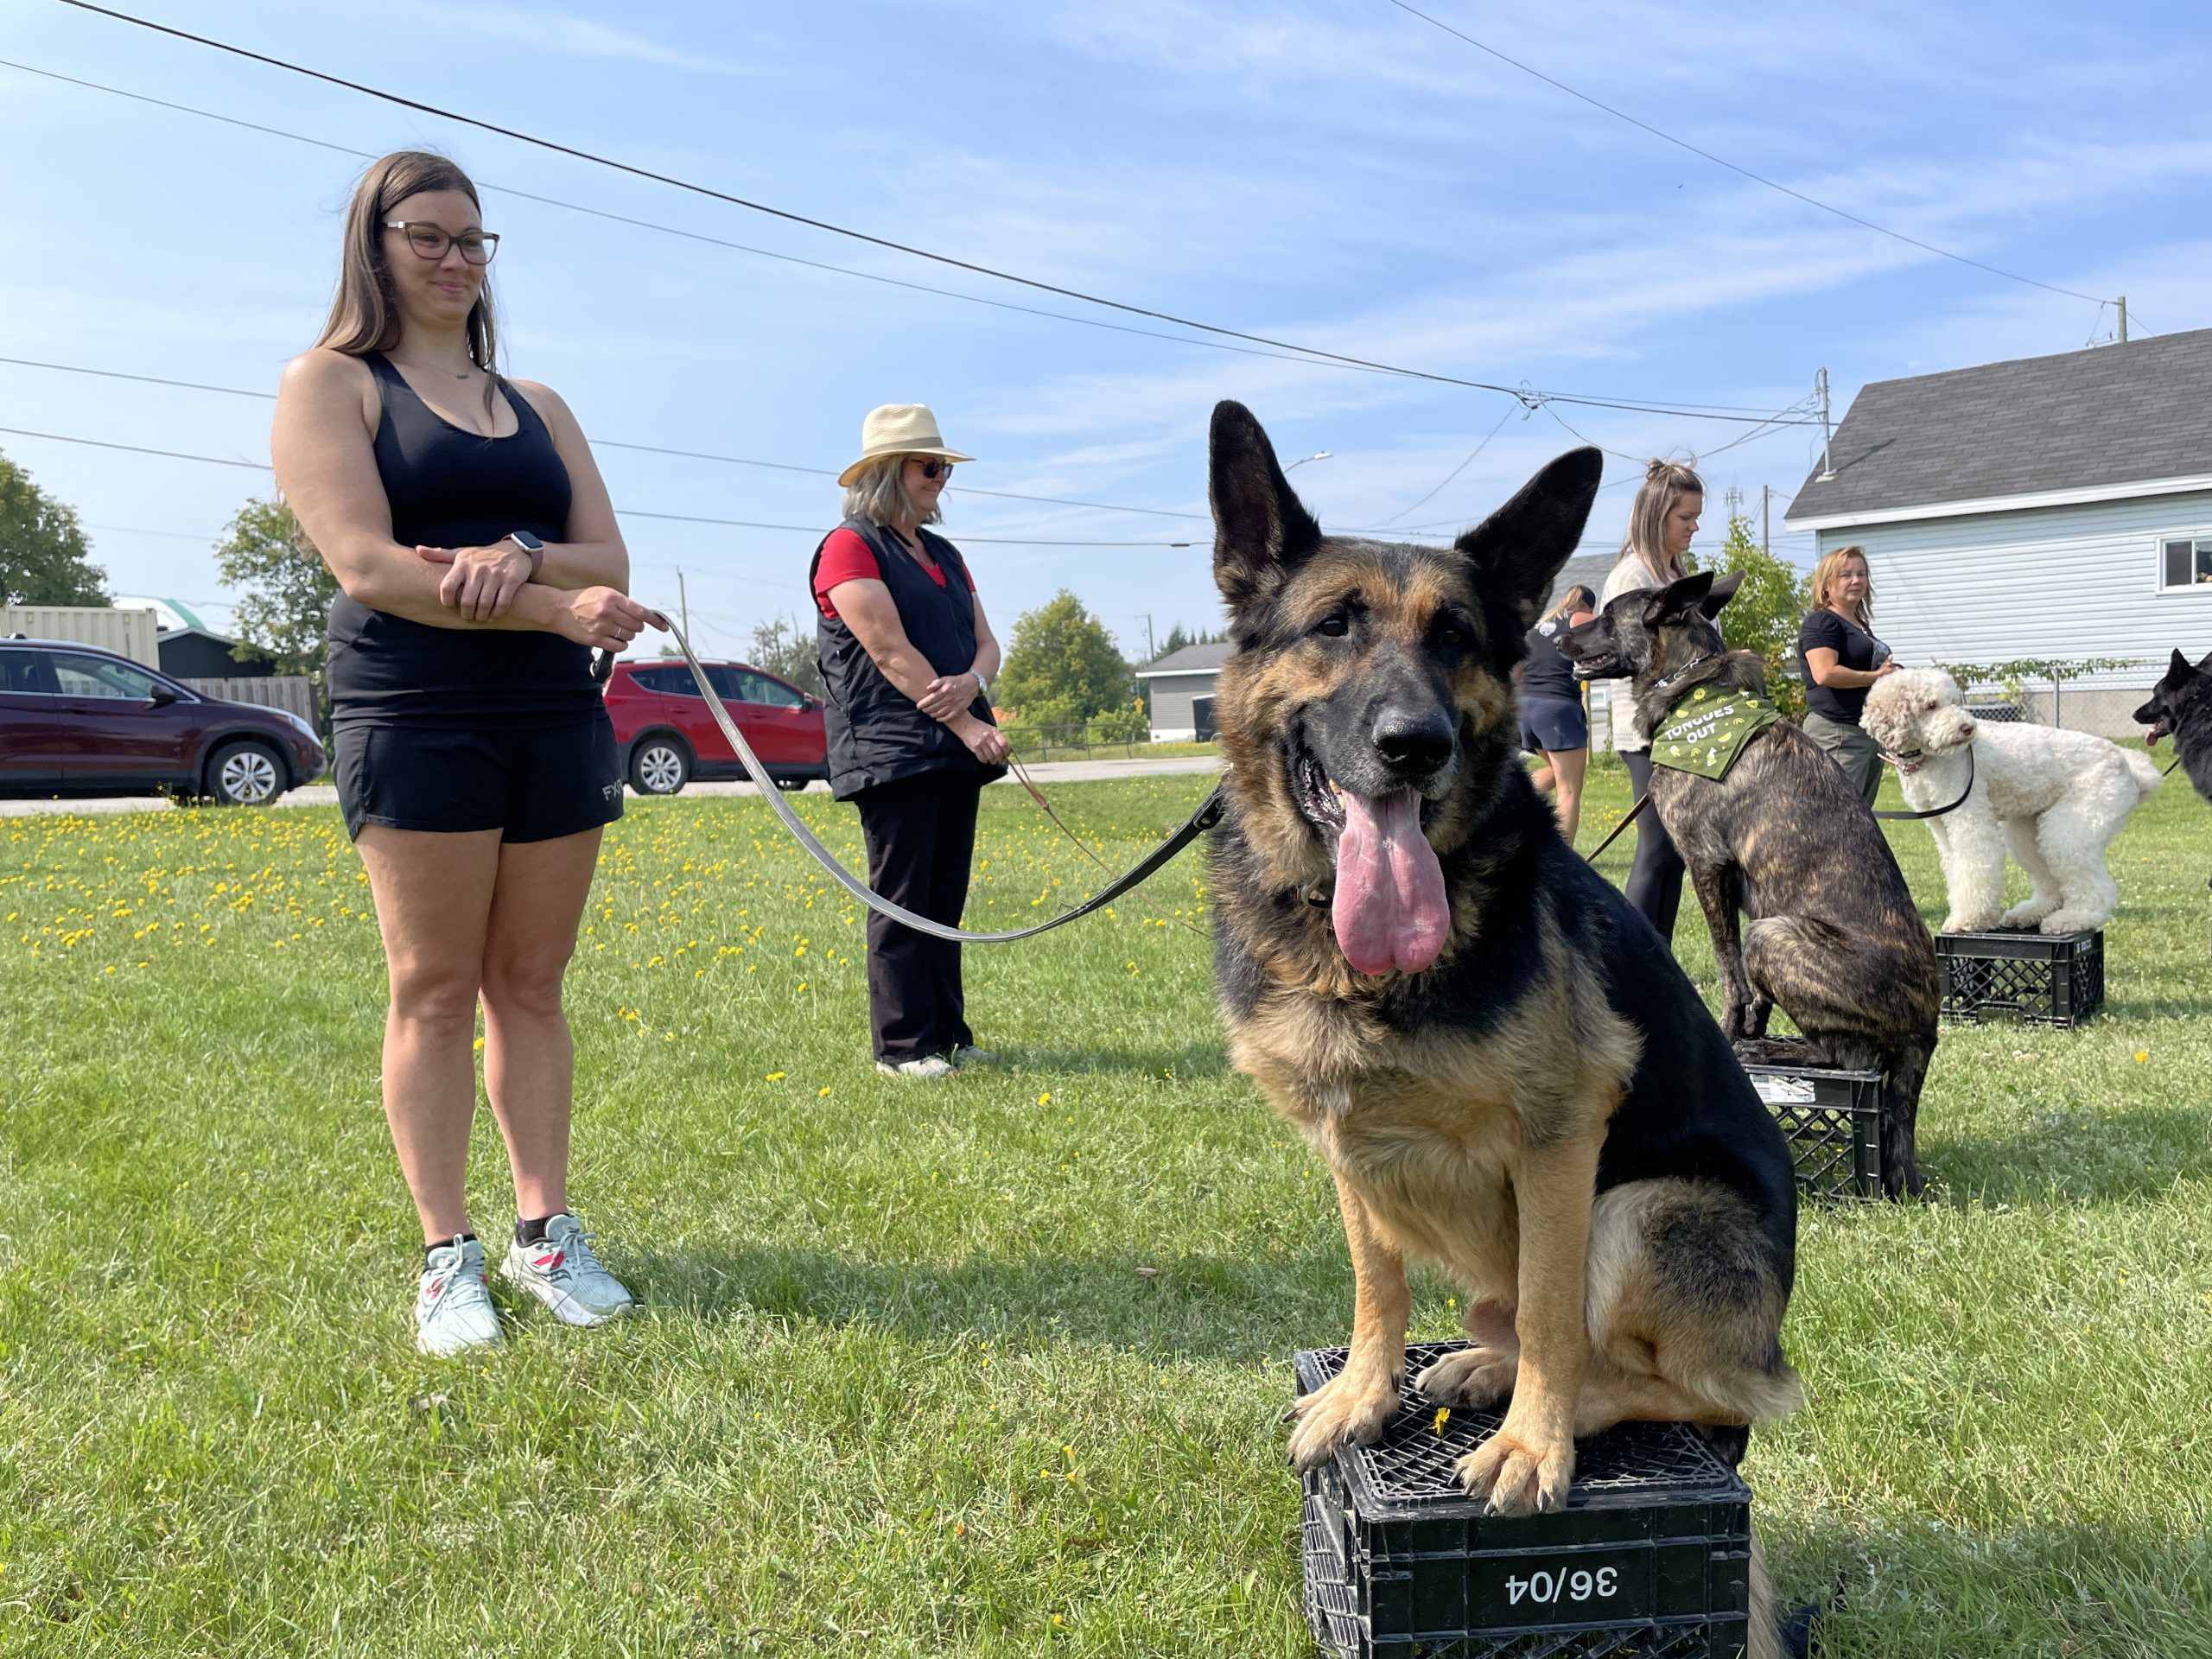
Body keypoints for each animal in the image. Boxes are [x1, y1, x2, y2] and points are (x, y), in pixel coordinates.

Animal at [1203, 400, 1804, 1574]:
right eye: (1332, 626)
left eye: (1455, 639)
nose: (1414, 745)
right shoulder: (1345, 1142)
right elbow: (1376, 1282)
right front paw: (1362, 1393)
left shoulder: (1561, 1138)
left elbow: (1552, 1315)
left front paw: (1535, 1442)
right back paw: (1483, 1366)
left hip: (1646, 1207)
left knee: (1691, 1388)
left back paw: (1561, 1403)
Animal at [1557, 570, 1937, 1194]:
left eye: (1609, 615)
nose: (1556, 638)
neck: (1693, 691)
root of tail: (1926, 1032)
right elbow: (1751, 992)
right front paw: (1753, 1030)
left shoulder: (1706, 865)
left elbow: (1729, 973)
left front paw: (1734, 1040)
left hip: (1773, 934)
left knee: (1850, 1060)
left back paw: (1786, 1052)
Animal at [1866, 672, 2158, 938]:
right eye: (1930, 705)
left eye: (1954, 702)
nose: (1967, 728)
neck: (1929, 759)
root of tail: (2127, 763)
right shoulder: (1942, 827)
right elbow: (1957, 870)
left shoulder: (1970, 822)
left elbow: (1975, 866)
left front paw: (1970, 920)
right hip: (2029, 832)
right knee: (2052, 885)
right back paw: (2030, 912)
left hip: (2072, 828)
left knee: (2096, 888)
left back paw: (2073, 918)